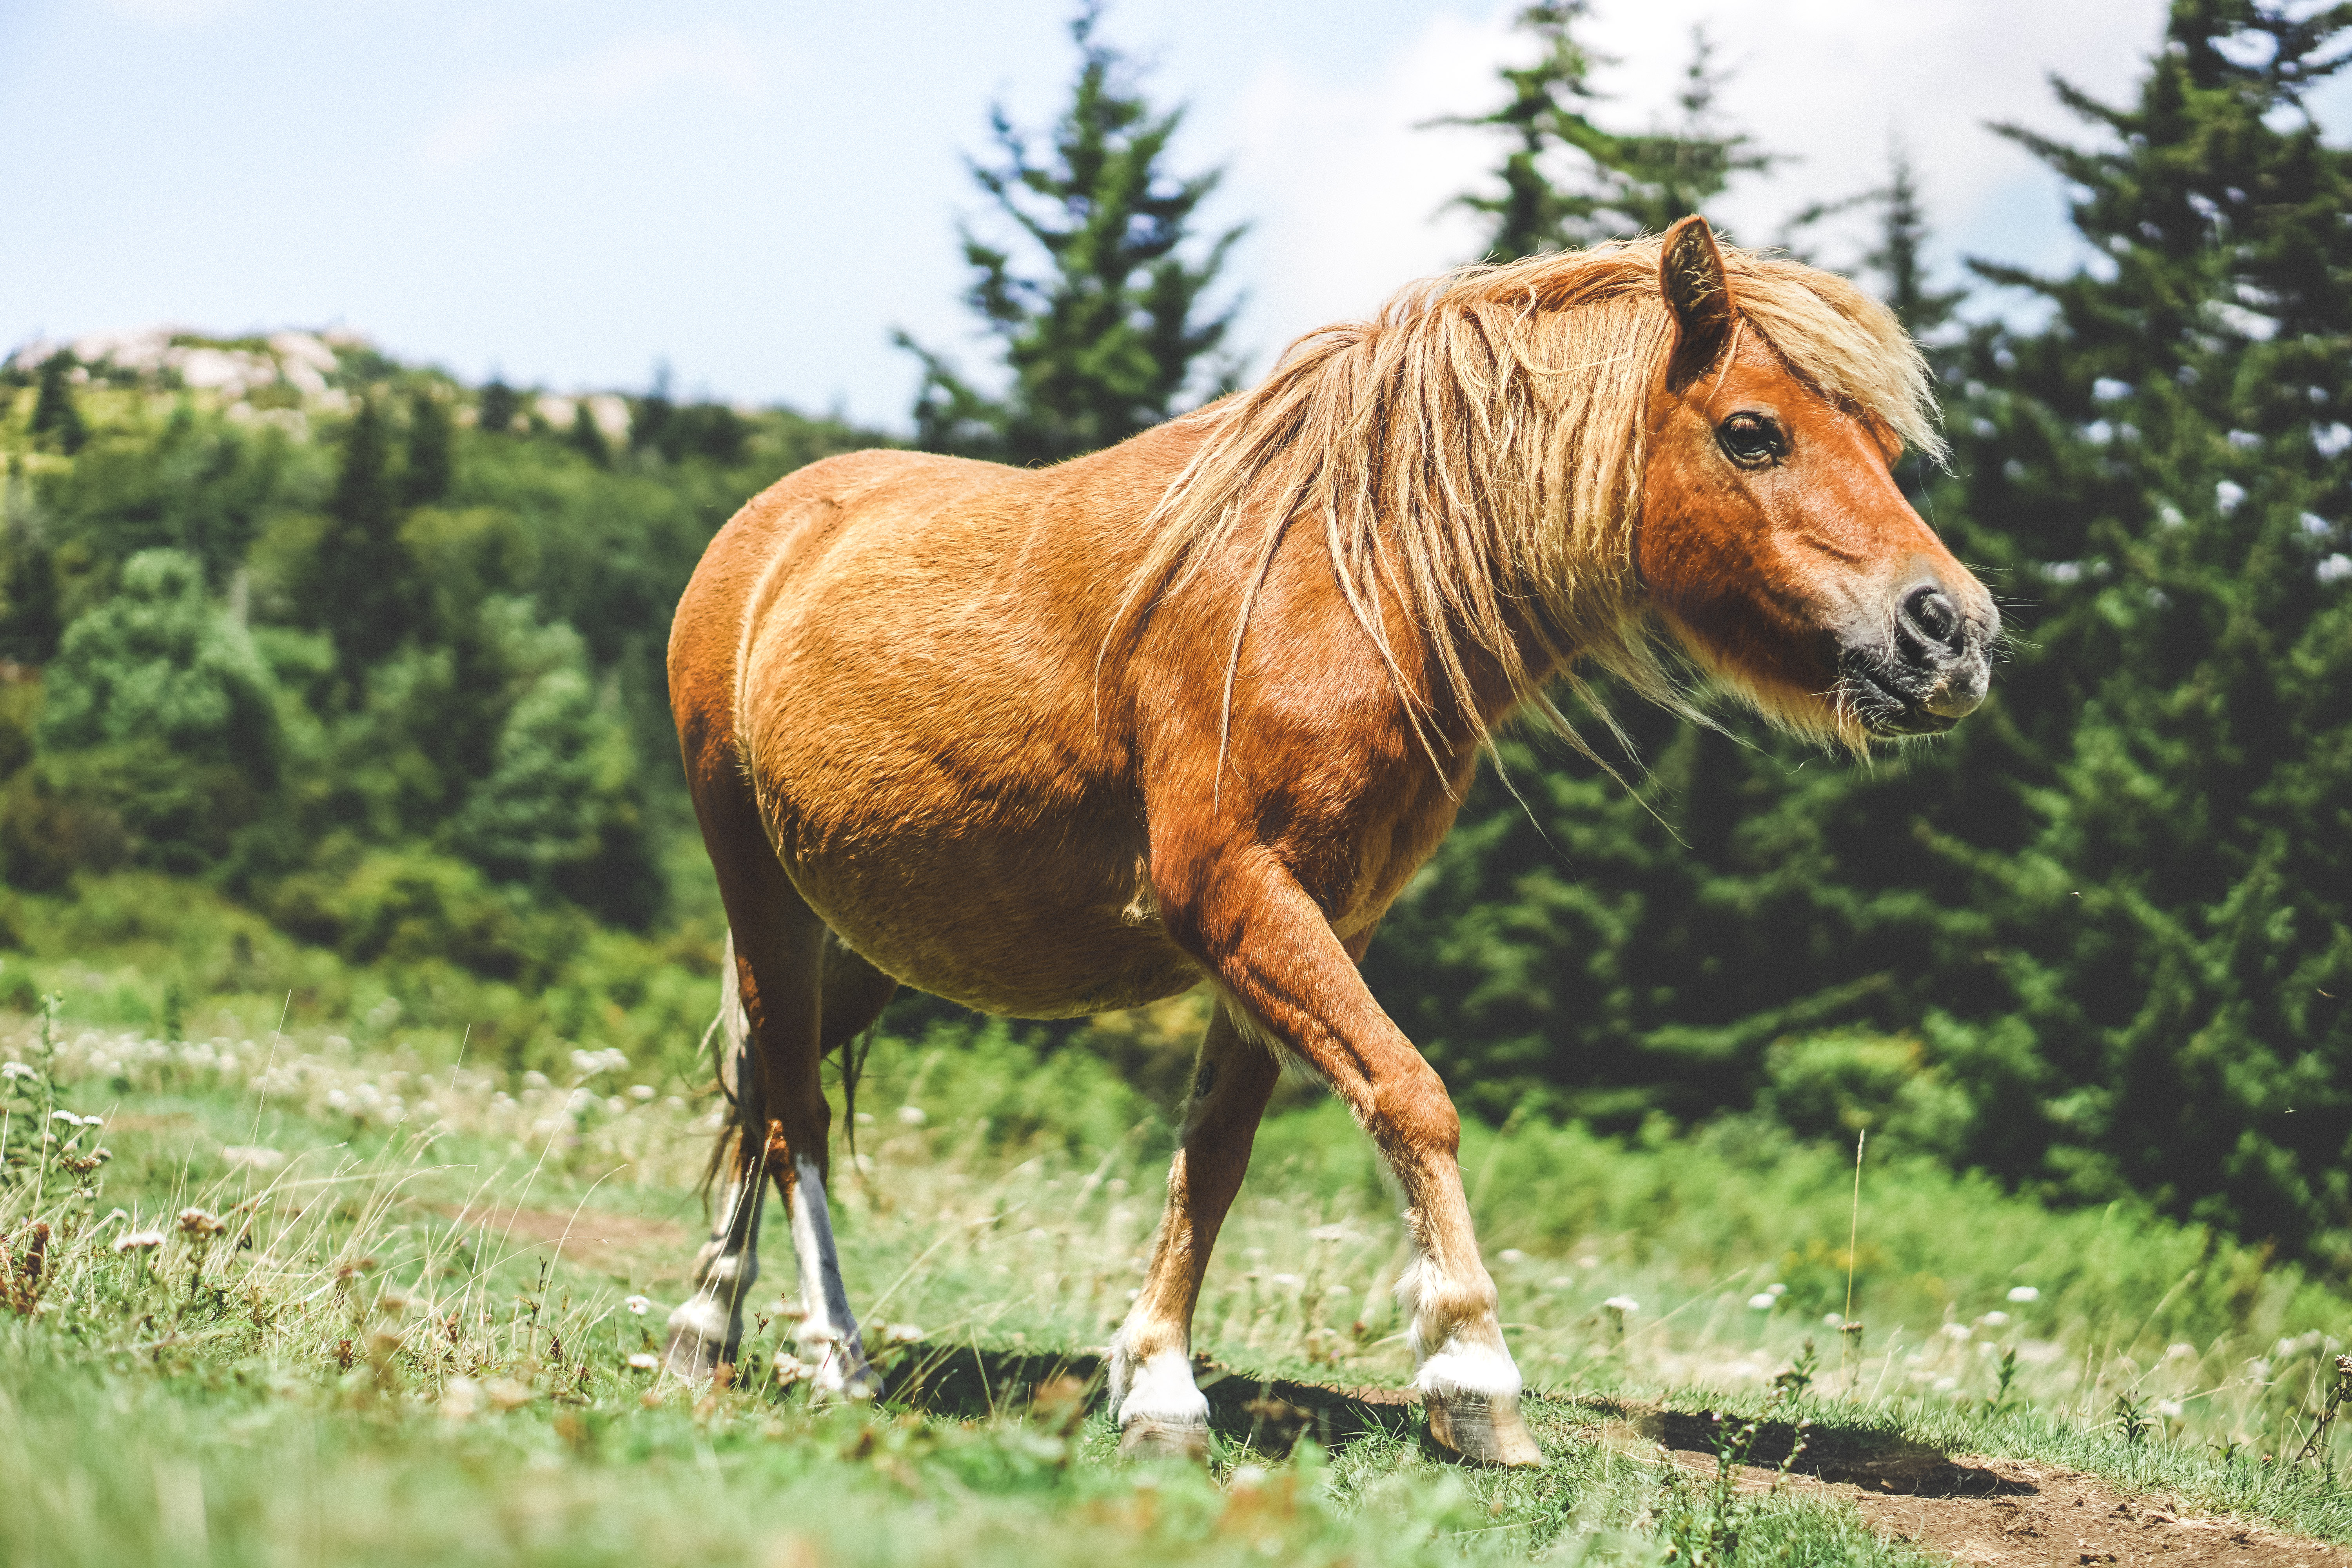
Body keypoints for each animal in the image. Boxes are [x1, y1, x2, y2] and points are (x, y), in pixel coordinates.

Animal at [657, 216, 1998, 1467]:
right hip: (759, 891)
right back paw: (832, 1351)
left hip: (868, 939)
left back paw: (705, 1329)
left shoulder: (1311, 918)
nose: (1952, 633)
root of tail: (769, 529)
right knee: (792, 1108)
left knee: (762, 1095)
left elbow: (1215, 1151)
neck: (1345, 579)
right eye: (1753, 432)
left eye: (1886, 452)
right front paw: (1472, 1373)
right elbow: (1409, 1095)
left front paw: (1158, 1387)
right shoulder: (1234, 893)